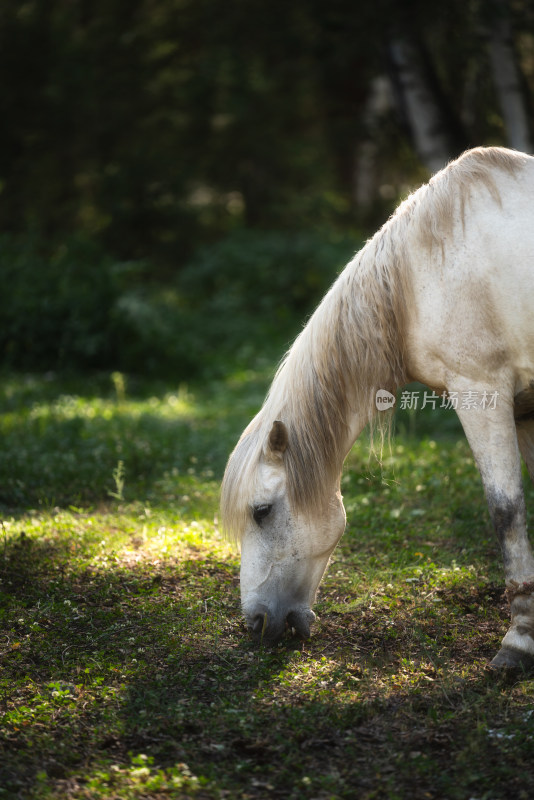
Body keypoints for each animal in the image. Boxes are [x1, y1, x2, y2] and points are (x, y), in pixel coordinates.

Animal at [221, 145, 534, 668]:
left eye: (261, 512)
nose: (255, 622)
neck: (421, 272)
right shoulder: (527, 408)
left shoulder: (482, 392)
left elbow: (505, 512)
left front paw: (519, 643)